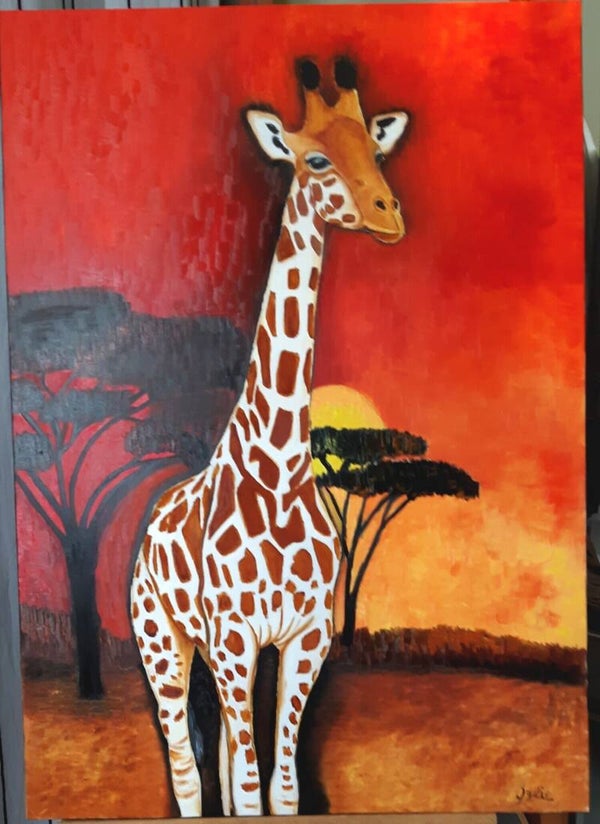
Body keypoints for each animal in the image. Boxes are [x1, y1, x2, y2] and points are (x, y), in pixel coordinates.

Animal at [130, 56, 409, 817]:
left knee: (225, 756)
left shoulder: (304, 638)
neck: (281, 468)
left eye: (377, 153)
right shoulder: (233, 635)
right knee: (187, 768)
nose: (391, 215)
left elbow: (278, 787)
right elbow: (252, 788)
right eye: (314, 158)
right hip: (162, 642)